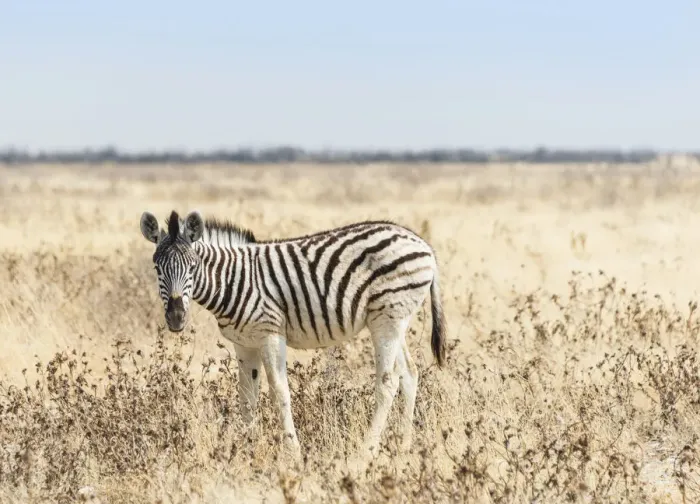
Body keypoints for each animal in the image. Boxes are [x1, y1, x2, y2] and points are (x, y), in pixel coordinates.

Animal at [139, 209, 447, 460]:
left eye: (192, 267)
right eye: (156, 267)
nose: (176, 318)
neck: (233, 280)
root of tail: (423, 244)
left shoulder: (270, 333)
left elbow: (279, 391)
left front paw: (292, 451)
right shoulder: (244, 343)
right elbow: (247, 398)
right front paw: (246, 450)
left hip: (387, 319)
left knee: (388, 382)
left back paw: (366, 450)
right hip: (395, 320)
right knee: (409, 374)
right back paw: (403, 446)